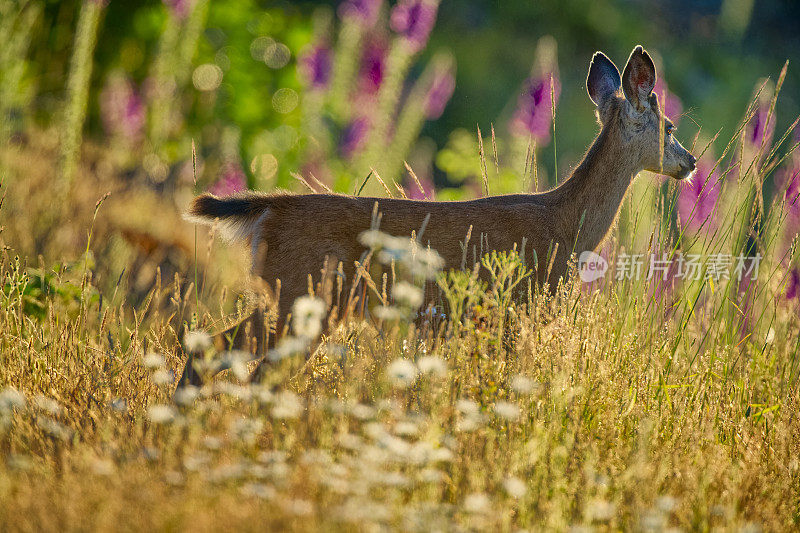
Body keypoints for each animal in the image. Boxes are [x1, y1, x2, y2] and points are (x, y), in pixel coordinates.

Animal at [175, 45, 692, 384]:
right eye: (669, 126)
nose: (688, 162)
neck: (566, 225)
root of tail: (267, 207)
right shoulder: (514, 309)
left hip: (287, 295)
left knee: (210, 349)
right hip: (304, 293)